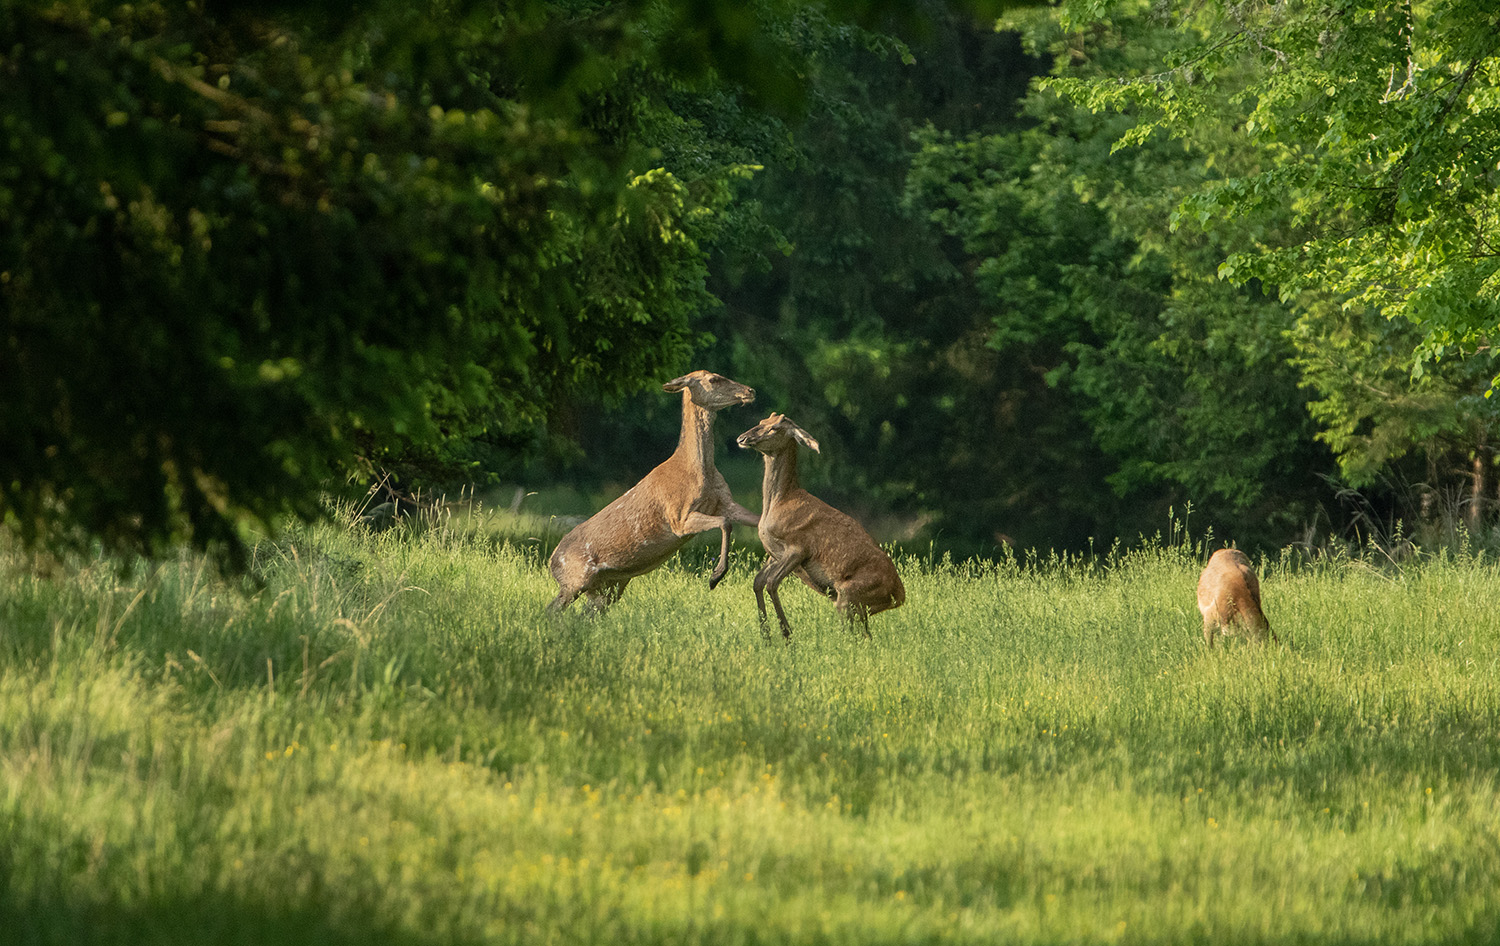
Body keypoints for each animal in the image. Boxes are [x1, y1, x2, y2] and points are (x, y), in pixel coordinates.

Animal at [549, 370, 762, 614]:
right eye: (714, 379)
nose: (750, 391)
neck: (697, 470)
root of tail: (552, 561)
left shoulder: (724, 502)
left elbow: (755, 519)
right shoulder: (678, 517)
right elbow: (725, 523)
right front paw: (715, 576)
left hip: (608, 587)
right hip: (576, 579)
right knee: (552, 610)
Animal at [735, 413, 900, 641]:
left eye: (775, 428)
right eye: (761, 422)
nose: (742, 438)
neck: (777, 504)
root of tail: (899, 596)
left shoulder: (798, 547)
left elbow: (771, 583)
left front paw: (787, 635)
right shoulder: (773, 553)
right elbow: (758, 582)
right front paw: (766, 636)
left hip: (848, 594)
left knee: (854, 633)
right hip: (859, 606)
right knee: (865, 634)